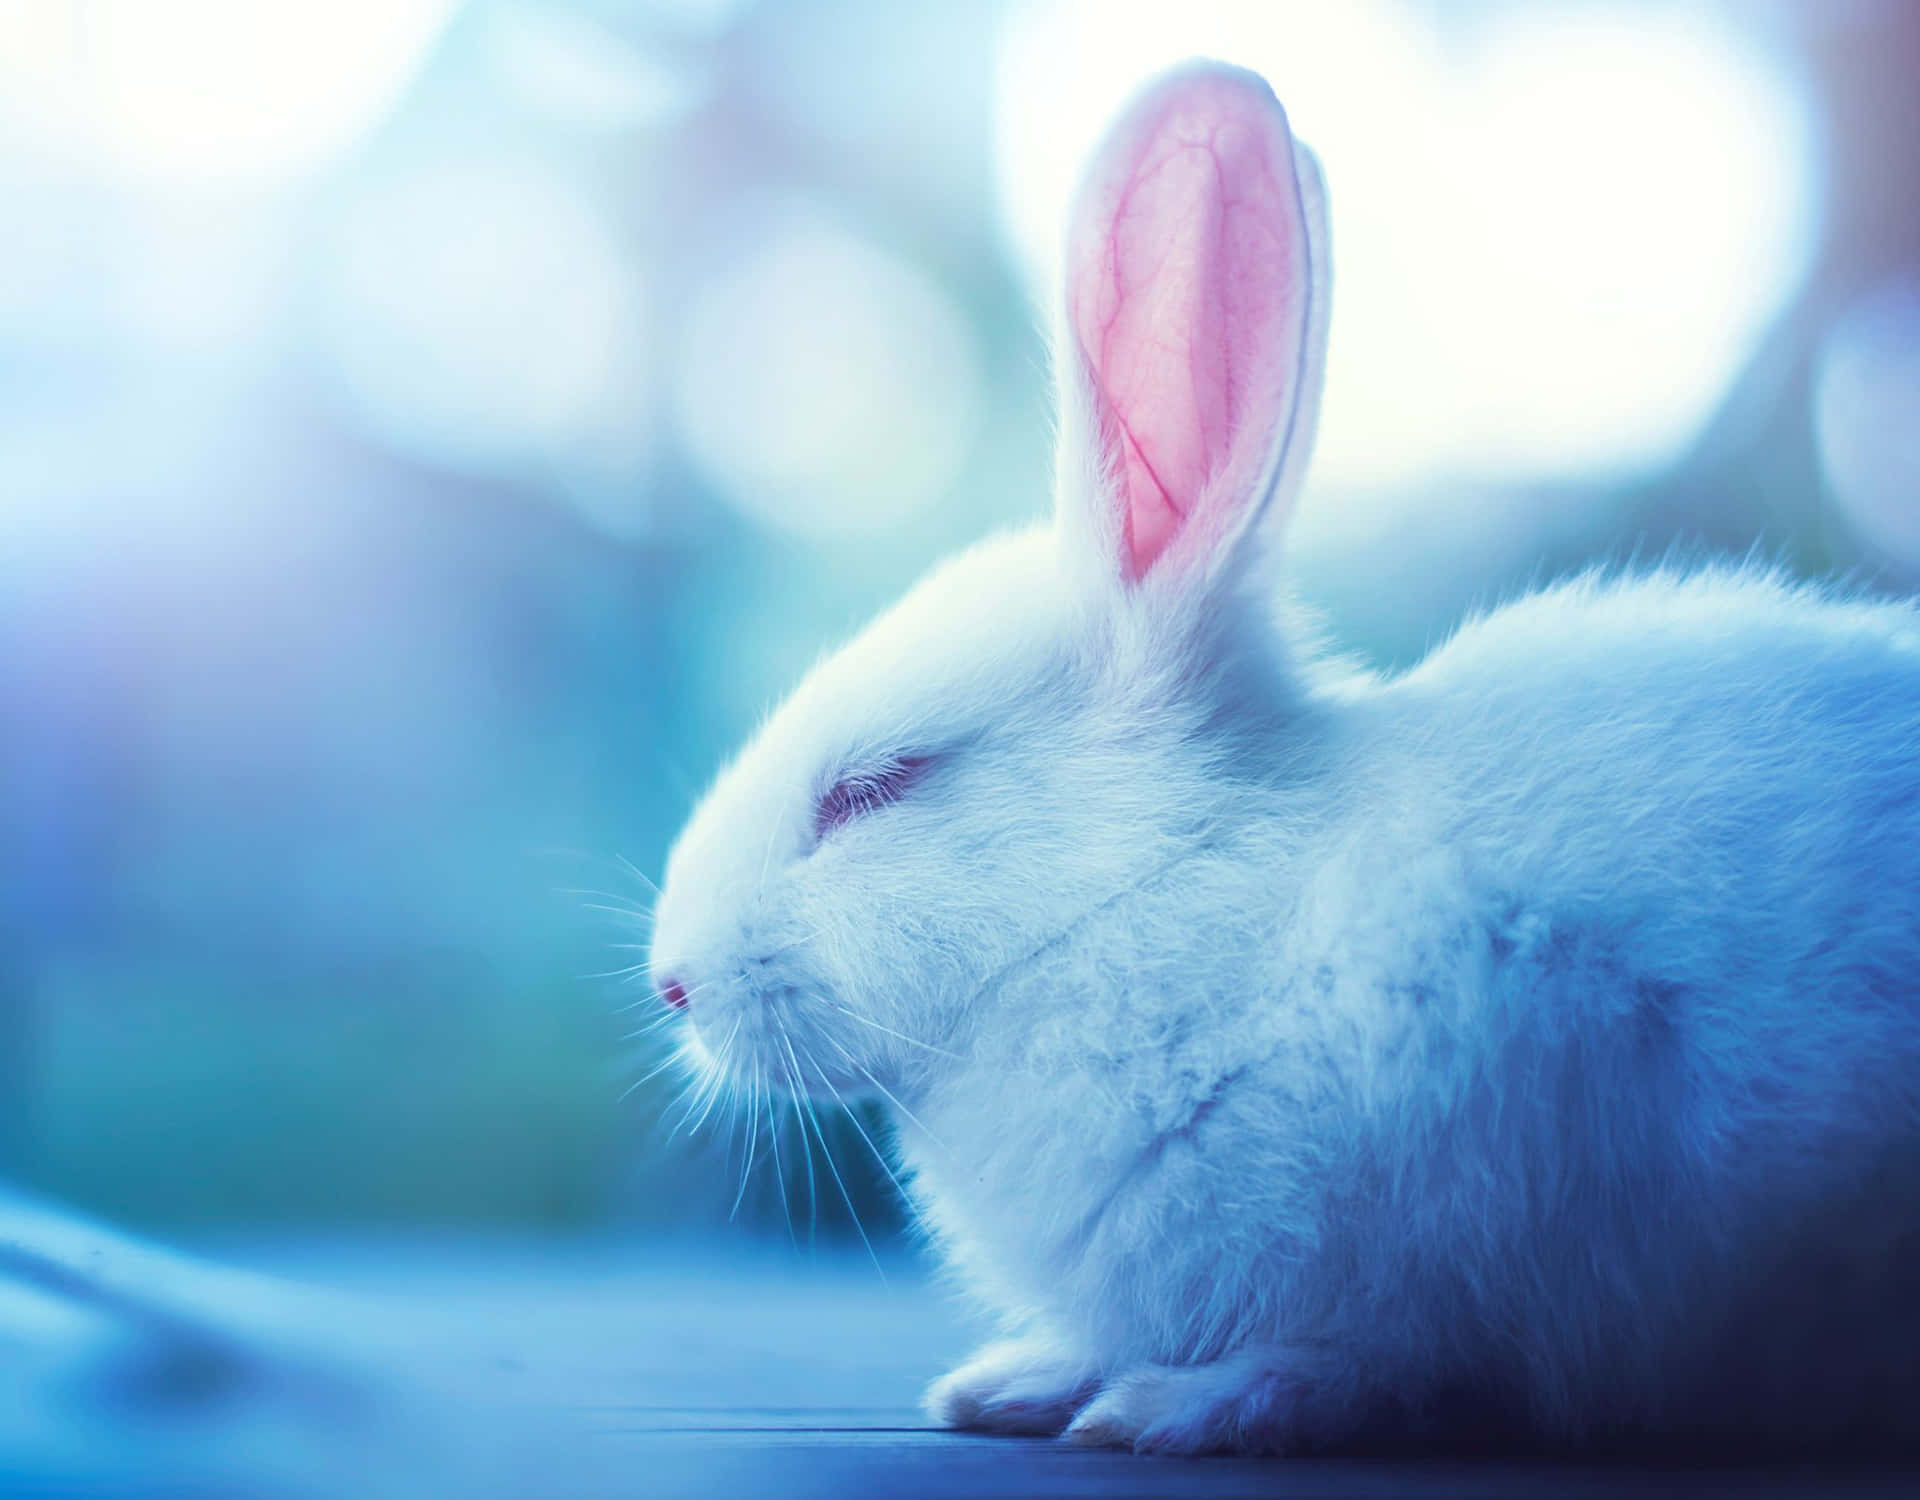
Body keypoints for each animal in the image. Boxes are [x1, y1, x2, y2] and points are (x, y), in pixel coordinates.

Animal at [646, 60, 1920, 1455]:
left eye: (879, 787)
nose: (671, 983)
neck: (1150, 899)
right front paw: (1016, 1380)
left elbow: (1377, 1356)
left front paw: (1181, 1408)